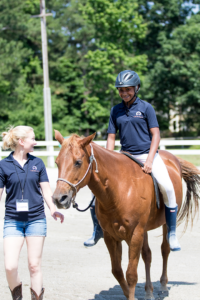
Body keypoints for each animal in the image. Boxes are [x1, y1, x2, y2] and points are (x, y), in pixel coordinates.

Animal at [53, 131, 200, 300]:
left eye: (77, 162)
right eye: (57, 163)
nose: (58, 198)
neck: (119, 190)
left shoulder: (135, 234)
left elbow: (131, 274)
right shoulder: (111, 236)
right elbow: (117, 270)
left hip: (162, 223)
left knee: (165, 249)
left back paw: (163, 286)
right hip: (143, 230)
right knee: (147, 255)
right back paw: (149, 292)